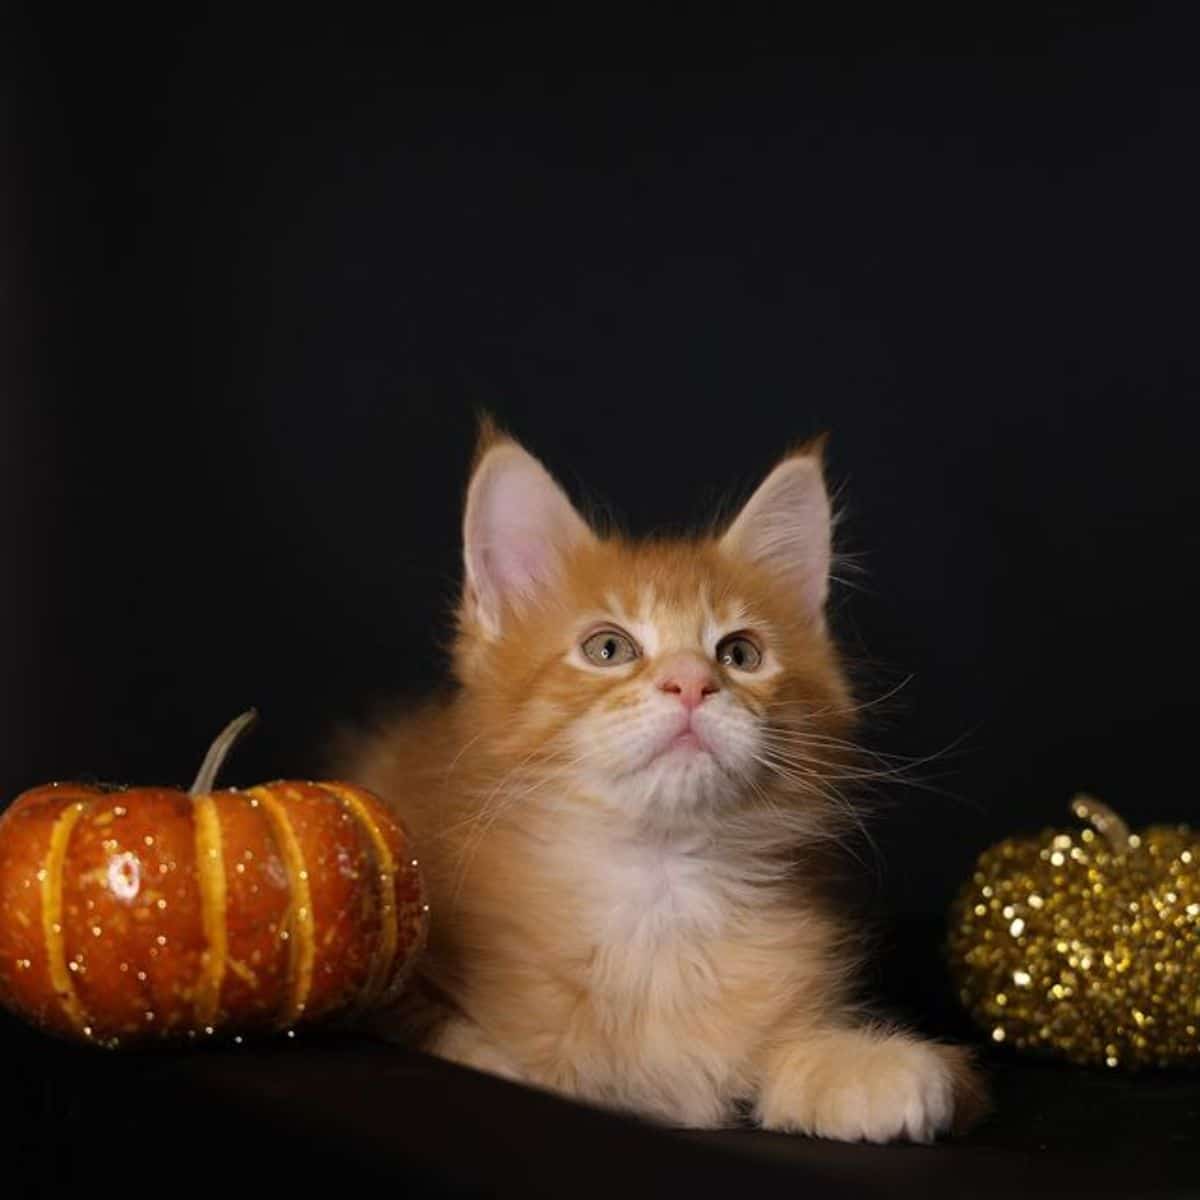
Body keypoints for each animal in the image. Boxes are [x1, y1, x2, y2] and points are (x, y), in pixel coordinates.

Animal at [338, 424, 984, 1142]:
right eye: (608, 649)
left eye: (739, 655)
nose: (691, 683)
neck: (659, 891)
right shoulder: (393, 971)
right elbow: (458, 1041)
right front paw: (521, 1063)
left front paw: (868, 1067)